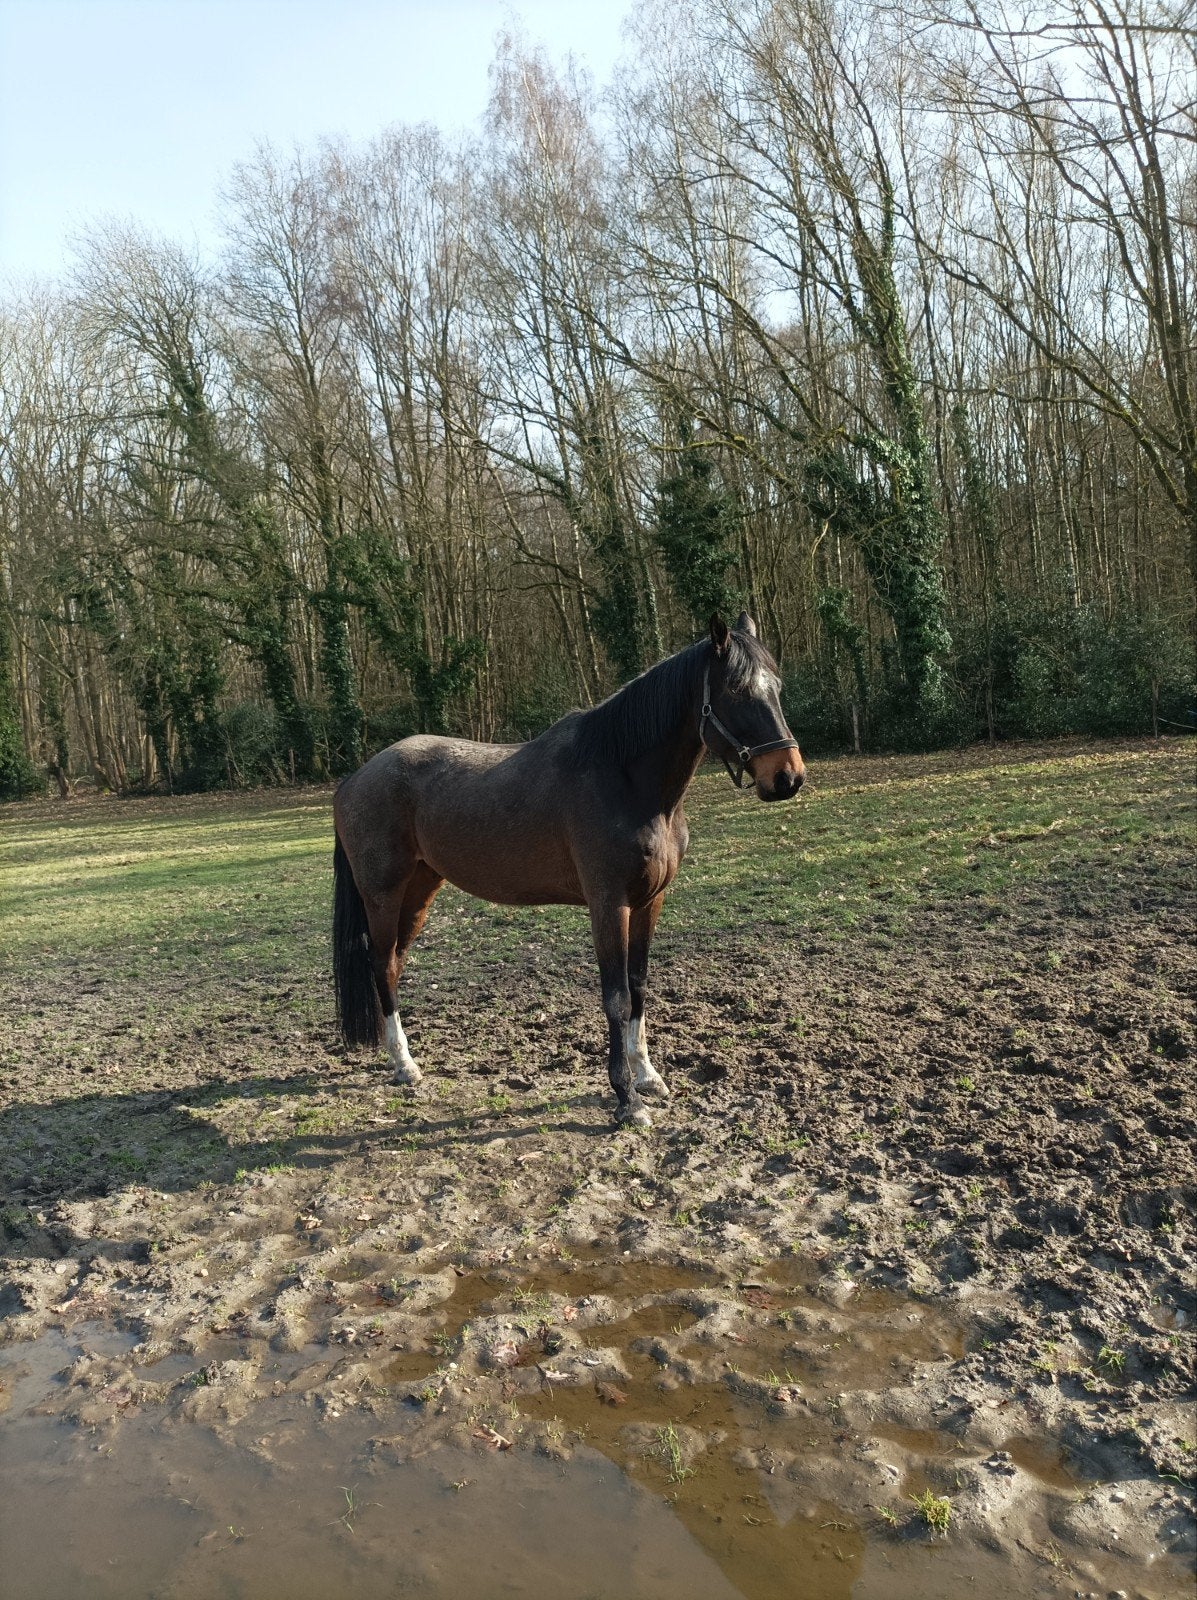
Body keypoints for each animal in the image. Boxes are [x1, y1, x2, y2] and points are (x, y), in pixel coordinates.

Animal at [331, 613, 805, 1128]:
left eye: (777, 686)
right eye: (736, 690)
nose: (788, 776)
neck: (626, 779)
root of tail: (355, 778)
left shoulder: (650, 901)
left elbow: (639, 985)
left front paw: (647, 1076)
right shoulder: (608, 903)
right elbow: (616, 996)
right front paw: (626, 1099)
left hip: (420, 889)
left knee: (395, 963)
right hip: (383, 893)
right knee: (381, 964)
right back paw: (404, 1065)